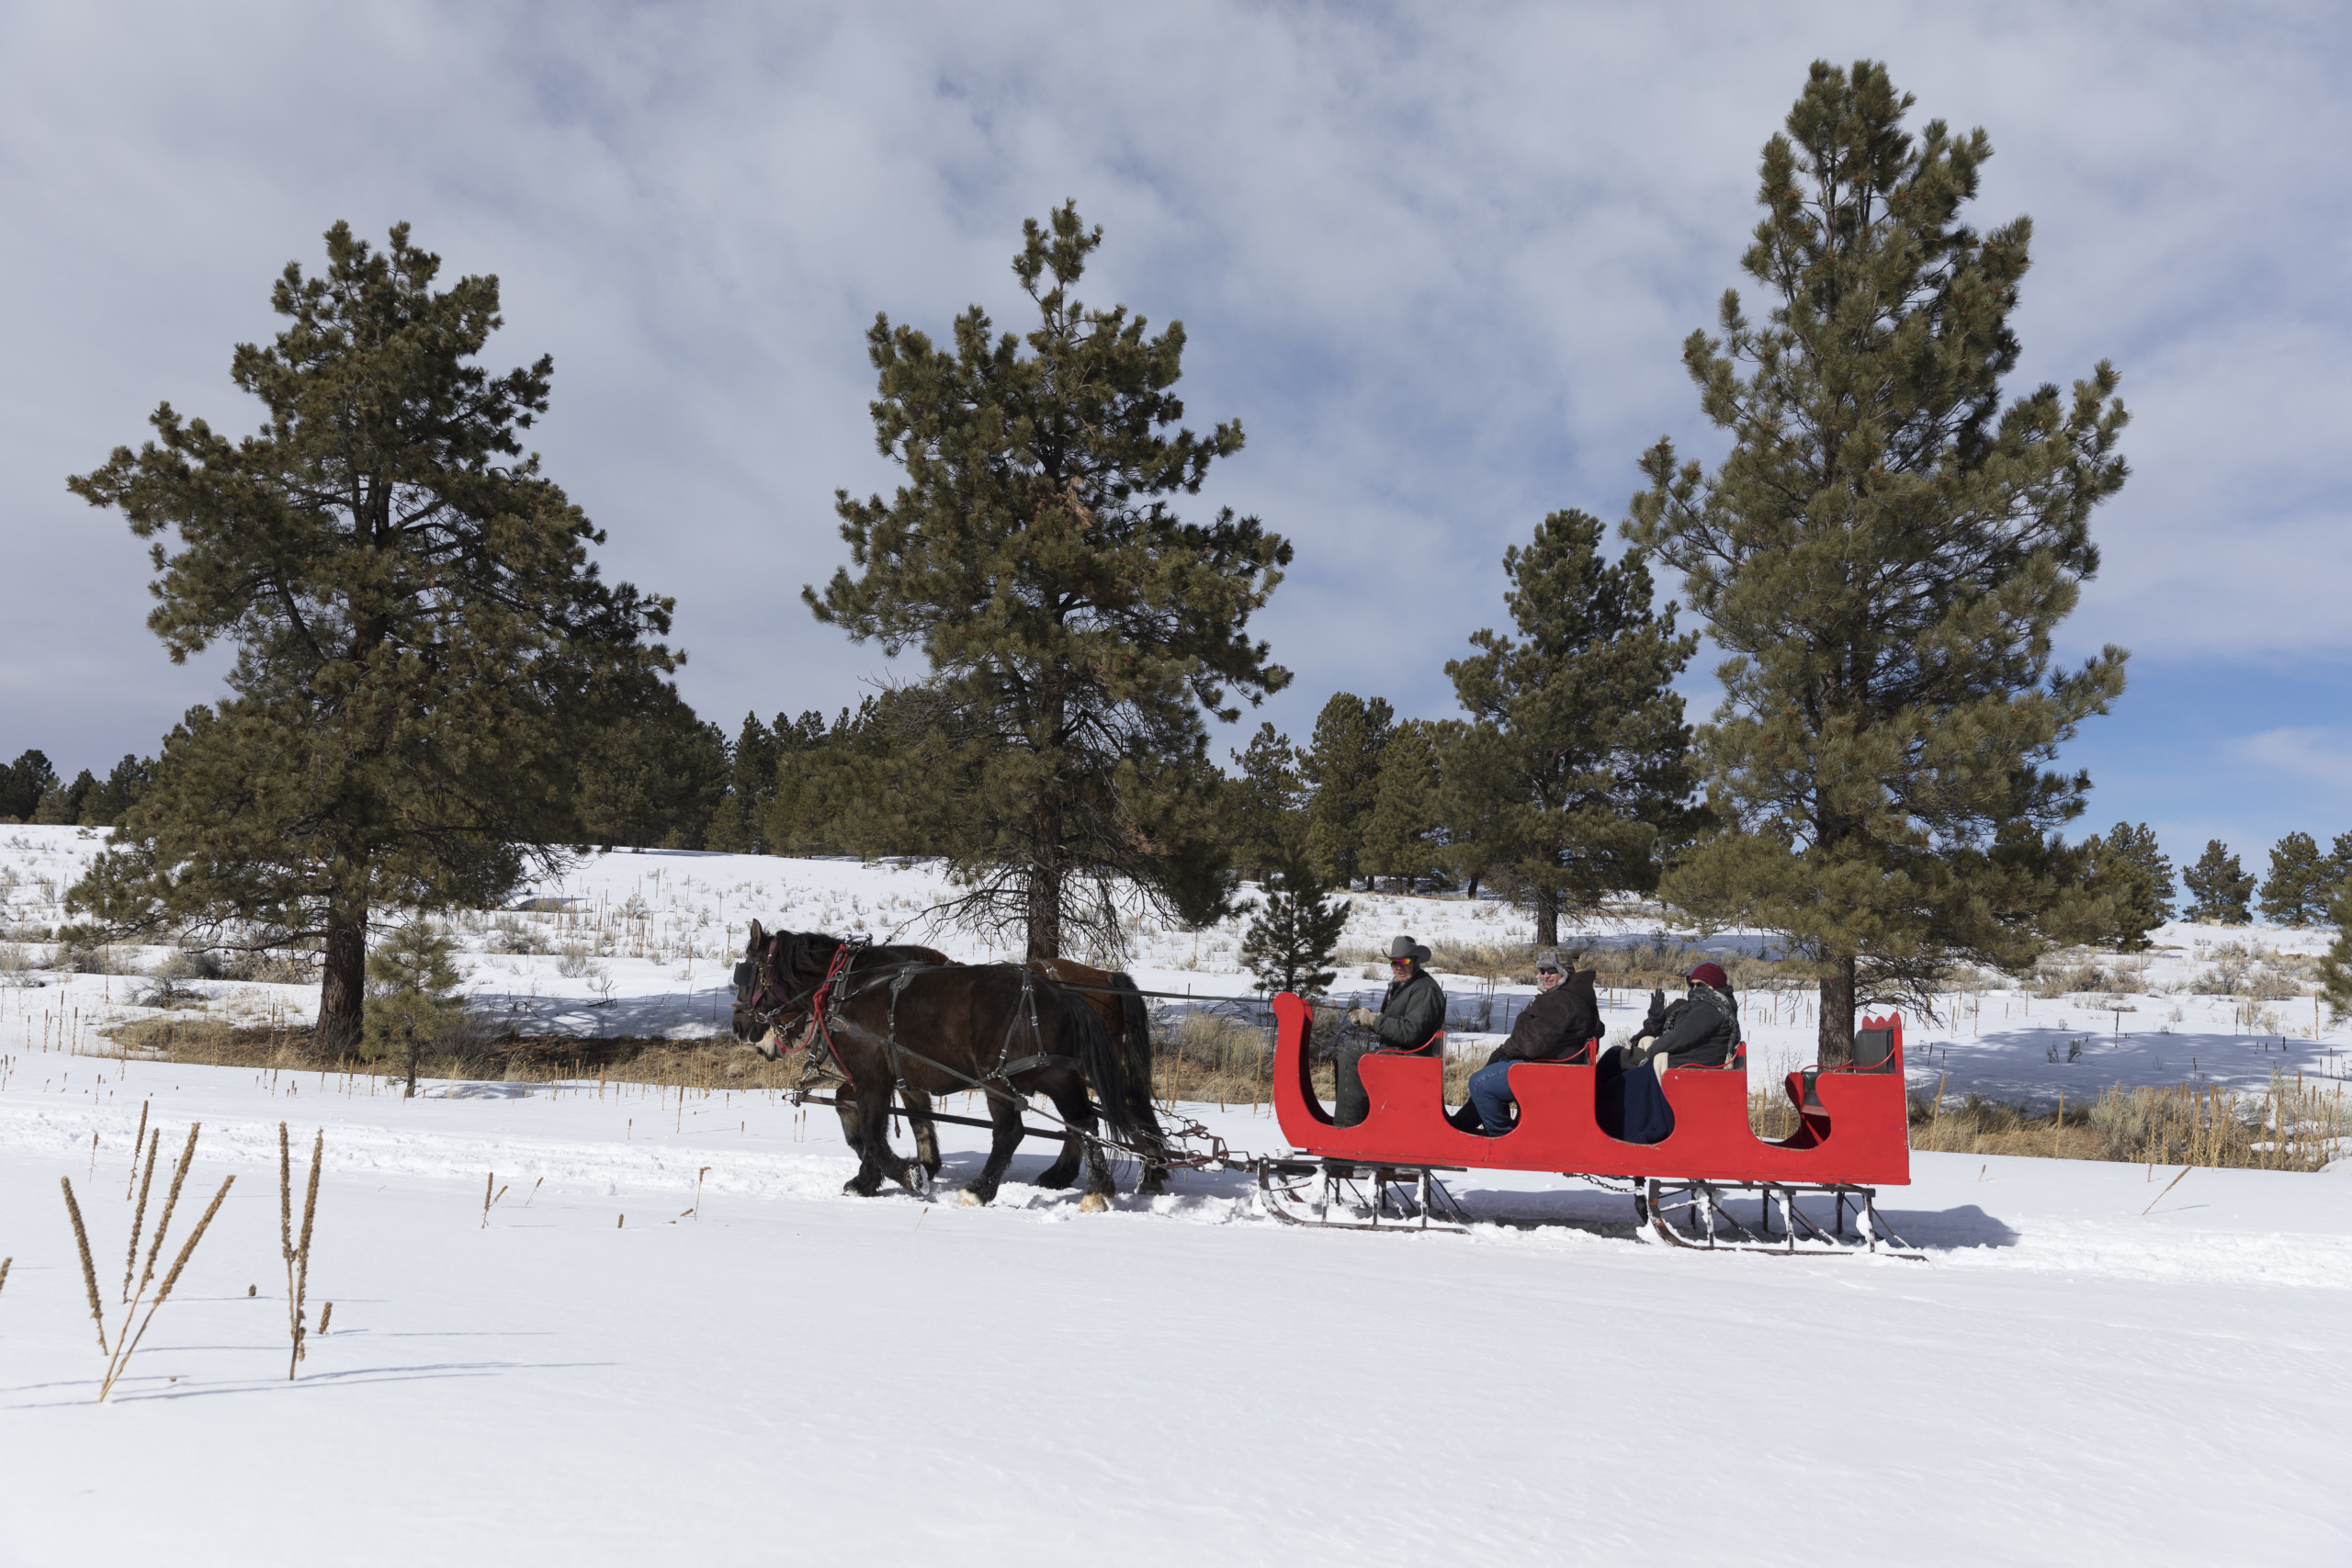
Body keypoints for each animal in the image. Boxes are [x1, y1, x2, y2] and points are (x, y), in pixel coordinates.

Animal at [724, 926, 1148, 1213]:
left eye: (747, 976)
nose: (739, 1027)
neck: (847, 986)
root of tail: (1061, 994)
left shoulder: (872, 1076)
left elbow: (873, 1135)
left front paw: (908, 1175)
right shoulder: (898, 1076)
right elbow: (897, 1123)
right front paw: (877, 1177)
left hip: (1001, 1081)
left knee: (1011, 1132)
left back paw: (979, 1191)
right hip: (1058, 1075)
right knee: (1084, 1124)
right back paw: (1096, 1191)